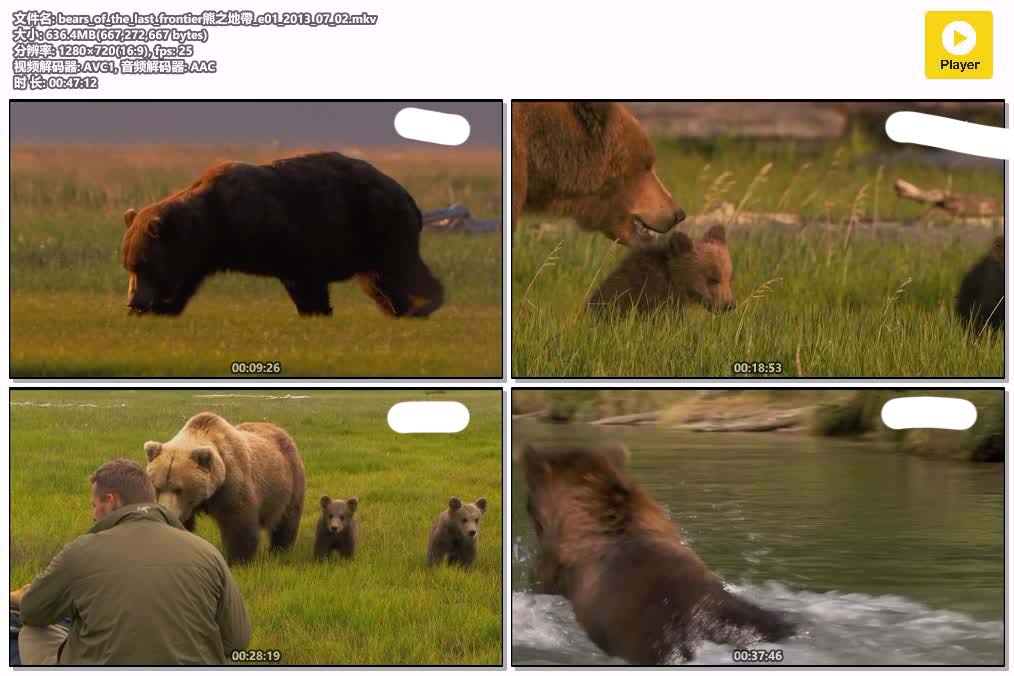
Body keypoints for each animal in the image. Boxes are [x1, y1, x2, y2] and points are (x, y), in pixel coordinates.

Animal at [121, 151, 444, 318]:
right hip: (369, 241)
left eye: (141, 264)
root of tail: (407, 195)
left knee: (402, 270)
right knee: (379, 282)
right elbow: (185, 284)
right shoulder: (200, 257)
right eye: (129, 265)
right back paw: (399, 309)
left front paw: (316, 311)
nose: (133, 302)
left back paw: (425, 303)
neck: (217, 225)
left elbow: (304, 279)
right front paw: (163, 308)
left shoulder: (286, 235)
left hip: (380, 225)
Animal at [143, 412, 307, 565]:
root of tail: (279, 428)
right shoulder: (188, 507)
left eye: (179, 489)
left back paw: (281, 549)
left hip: (288, 480)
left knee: (286, 519)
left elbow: (238, 522)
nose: (168, 510)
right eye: (157, 487)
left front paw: (238, 560)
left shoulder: (231, 483)